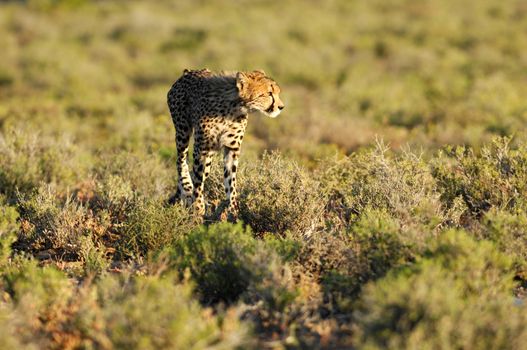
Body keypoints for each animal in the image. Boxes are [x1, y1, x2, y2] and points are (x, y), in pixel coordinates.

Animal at [168, 68, 284, 220]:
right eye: (269, 93)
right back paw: (187, 190)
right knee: (181, 161)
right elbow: (198, 183)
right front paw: (198, 208)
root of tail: (189, 72)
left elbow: (231, 183)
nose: (281, 107)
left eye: (277, 92)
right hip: (182, 132)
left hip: (208, 157)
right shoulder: (201, 148)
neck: (233, 107)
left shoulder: (231, 149)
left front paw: (234, 212)